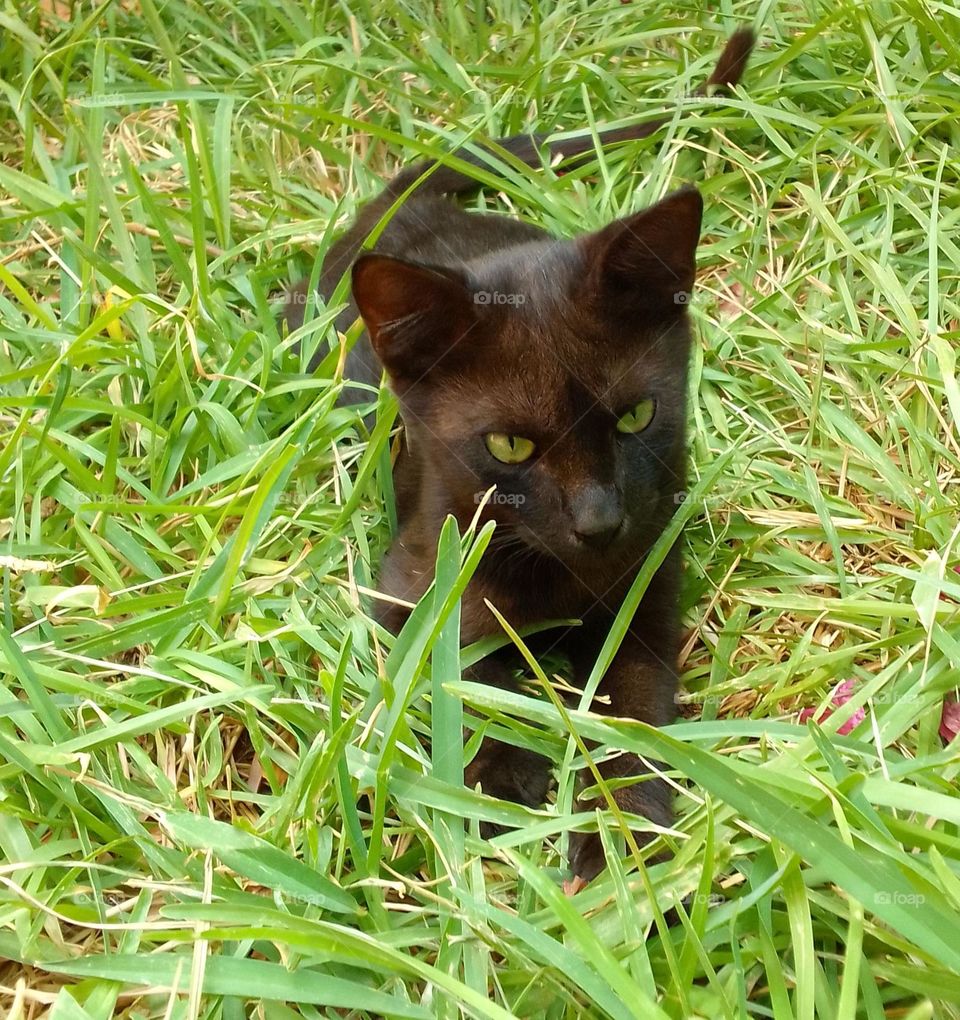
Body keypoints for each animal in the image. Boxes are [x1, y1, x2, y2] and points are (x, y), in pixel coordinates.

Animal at [281, 27, 754, 881]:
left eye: (637, 416)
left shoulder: (650, 598)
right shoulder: (407, 588)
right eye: (509, 445)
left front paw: (622, 837)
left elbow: (638, 711)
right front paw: (507, 774)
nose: (601, 523)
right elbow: (467, 671)